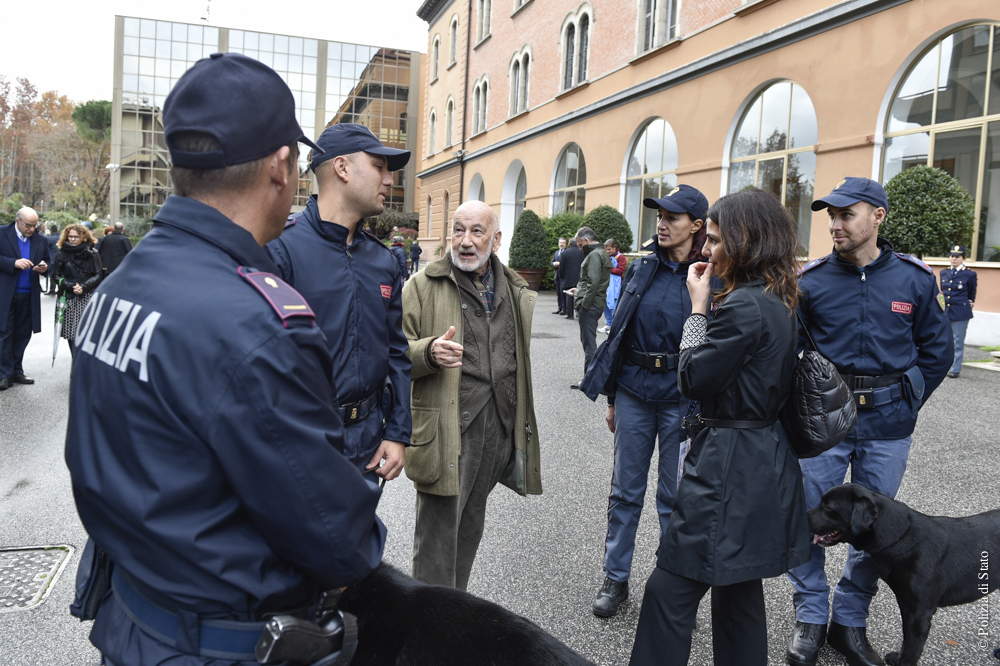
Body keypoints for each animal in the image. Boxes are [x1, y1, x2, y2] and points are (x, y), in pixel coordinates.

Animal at [808, 482, 996, 664]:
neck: (901, 535)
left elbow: (911, 651)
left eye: (828, 507)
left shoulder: (919, 615)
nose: (804, 515)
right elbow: (906, 642)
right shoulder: (907, 608)